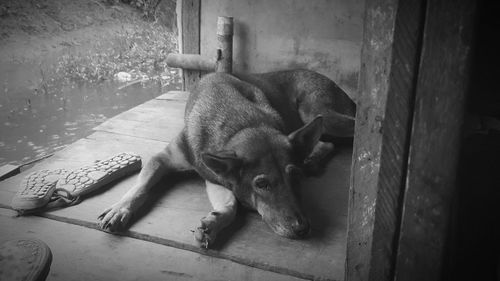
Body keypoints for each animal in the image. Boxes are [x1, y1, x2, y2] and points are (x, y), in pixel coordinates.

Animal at [96, 69, 356, 246]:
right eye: (262, 184)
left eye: (296, 177)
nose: (302, 229)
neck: (242, 124)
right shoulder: (192, 168)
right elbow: (139, 187)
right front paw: (120, 209)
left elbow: (232, 204)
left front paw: (213, 224)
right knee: (328, 140)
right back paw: (313, 158)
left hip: (319, 113)